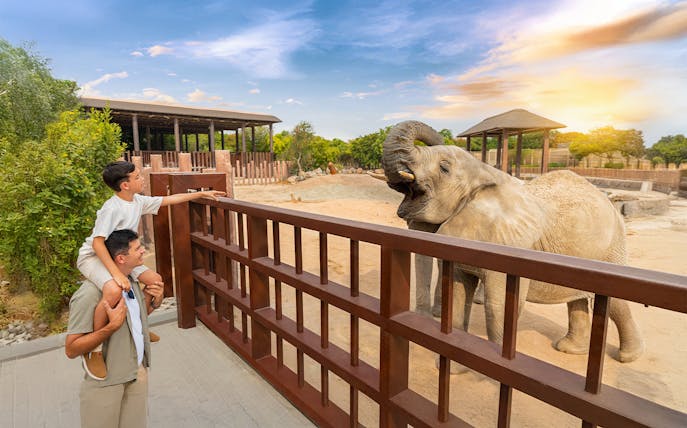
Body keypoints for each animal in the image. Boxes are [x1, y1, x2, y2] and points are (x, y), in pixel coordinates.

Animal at [381, 120, 644, 363]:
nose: (421, 319)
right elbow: (457, 293)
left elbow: (499, 306)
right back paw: (569, 349)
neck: (485, 172)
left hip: (612, 246)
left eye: (444, 168)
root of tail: (609, 200)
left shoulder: (510, 243)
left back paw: (628, 357)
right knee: (576, 298)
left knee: (615, 302)